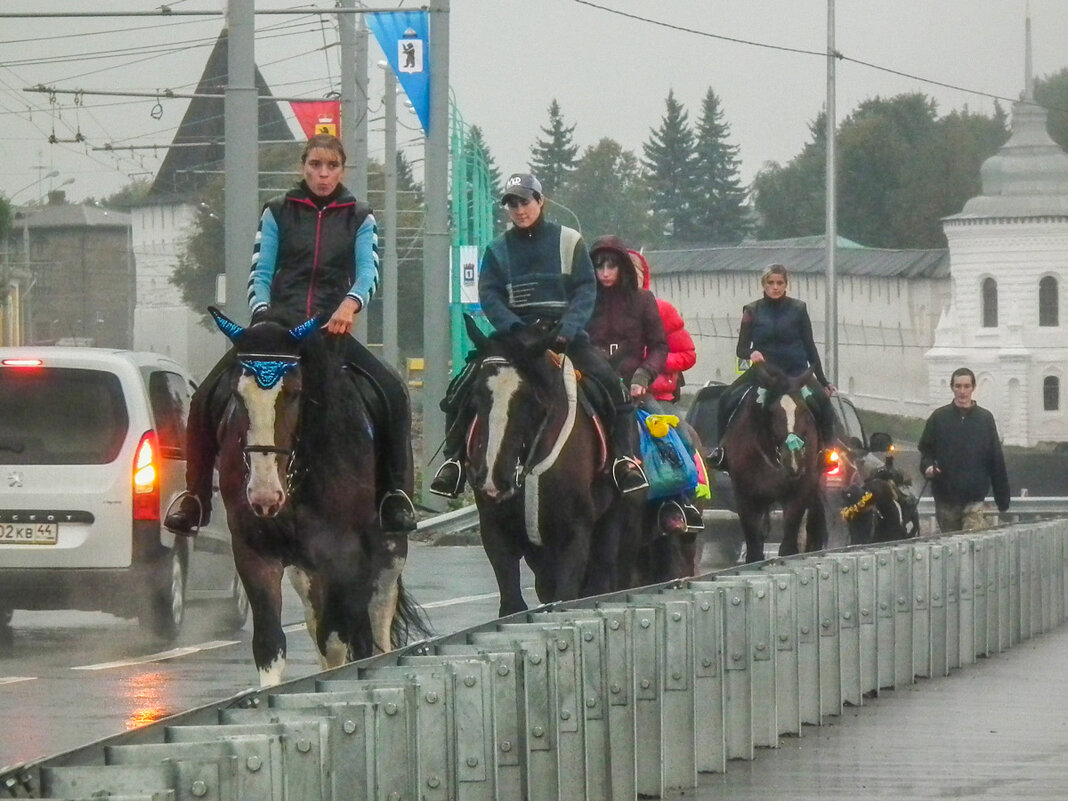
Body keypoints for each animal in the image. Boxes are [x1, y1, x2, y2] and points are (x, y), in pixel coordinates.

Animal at [461, 318, 640, 615]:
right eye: (476, 395)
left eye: (529, 399)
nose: (493, 480)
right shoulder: (496, 531)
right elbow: (512, 604)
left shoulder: (575, 533)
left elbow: (566, 596)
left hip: (612, 519)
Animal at [721, 363, 828, 563]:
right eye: (771, 411)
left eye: (803, 410)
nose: (793, 459)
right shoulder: (745, 497)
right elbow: (754, 551)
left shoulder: (798, 493)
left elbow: (788, 547)